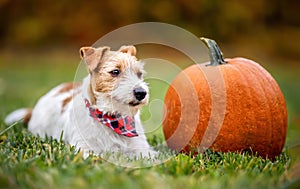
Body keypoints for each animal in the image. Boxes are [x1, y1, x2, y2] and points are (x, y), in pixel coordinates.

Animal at [5, 45, 157, 159]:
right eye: (115, 71)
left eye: (139, 74)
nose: (141, 93)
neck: (111, 119)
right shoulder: (84, 148)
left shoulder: (142, 149)